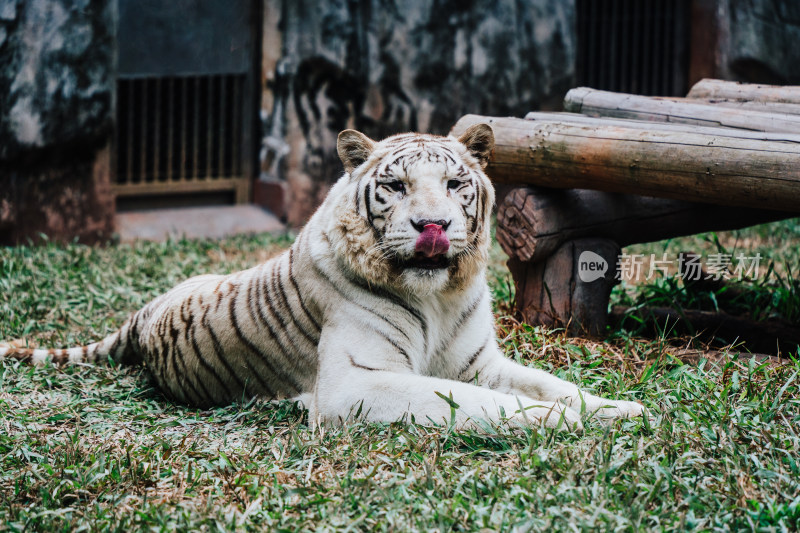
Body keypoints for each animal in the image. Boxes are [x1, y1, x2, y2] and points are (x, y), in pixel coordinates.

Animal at [1, 124, 644, 428]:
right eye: (396, 186)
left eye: (456, 184)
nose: (433, 225)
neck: (437, 298)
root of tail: (146, 313)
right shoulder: (357, 382)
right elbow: (479, 403)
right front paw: (554, 423)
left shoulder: (480, 364)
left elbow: (553, 384)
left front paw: (620, 410)